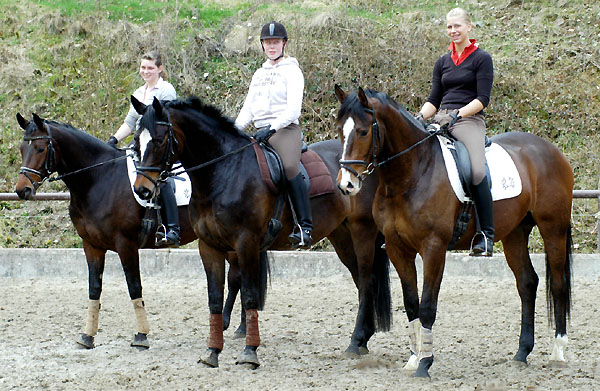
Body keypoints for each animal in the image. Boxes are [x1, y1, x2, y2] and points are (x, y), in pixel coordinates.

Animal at [14, 112, 262, 350]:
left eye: (40, 148)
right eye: (21, 149)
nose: (21, 190)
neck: (98, 180)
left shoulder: (126, 245)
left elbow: (134, 287)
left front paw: (141, 335)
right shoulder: (91, 246)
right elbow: (94, 289)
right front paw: (87, 336)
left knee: (238, 277)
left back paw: (235, 325)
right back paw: (240, 327)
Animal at [131, 96, 392, 370]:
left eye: (158, 140)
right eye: (136, 140)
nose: (142, 190)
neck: (224, 172)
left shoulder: (246, 243)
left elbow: (249, 295)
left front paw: (249, 352)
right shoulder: (209, 246)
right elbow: (214, 298)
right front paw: (212, 352)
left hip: (362, 232)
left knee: (367, 280)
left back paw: (355, 341)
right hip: (341, 236)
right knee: (361, 281)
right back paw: (362, 340)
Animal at [336, 86, 576, 380]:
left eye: (362, 132)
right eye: (340, 130)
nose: (346, 185)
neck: (412, 173)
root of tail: (552, 150)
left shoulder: (433, 248)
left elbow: (427, 306)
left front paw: (425, 365)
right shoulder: (397, 248)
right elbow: (411, 304)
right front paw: (414, 359)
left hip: (553, 228)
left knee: (558, 283)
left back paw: (558, 351)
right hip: (515, 234)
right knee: (527, 283)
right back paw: (522, 353)